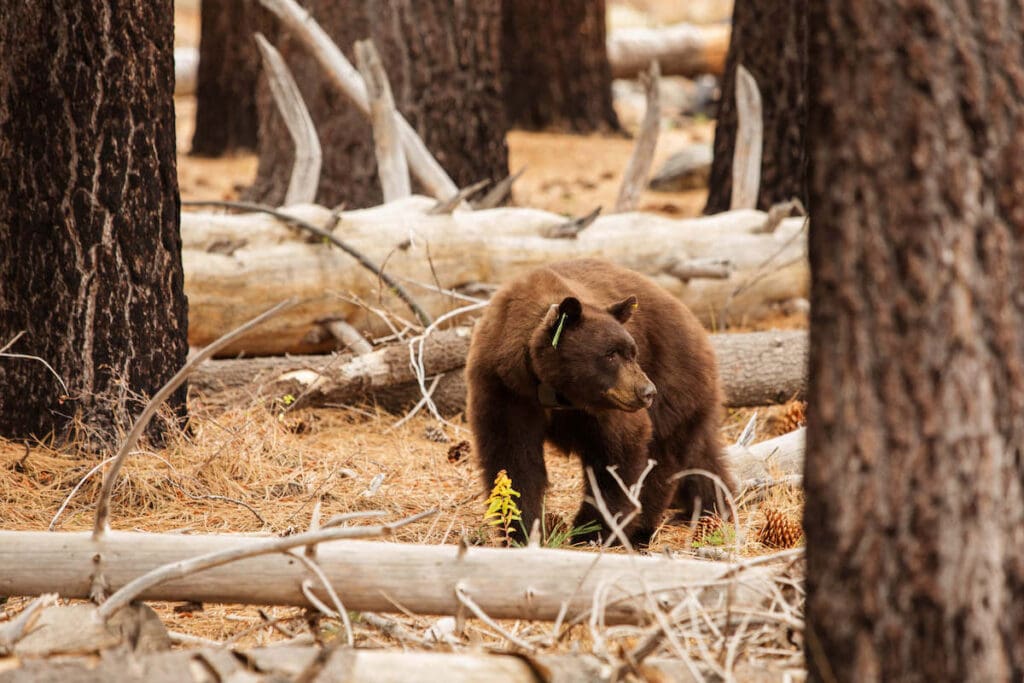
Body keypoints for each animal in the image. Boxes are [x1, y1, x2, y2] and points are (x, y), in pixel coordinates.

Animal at [468, 259, 733, 548]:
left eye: (632, 352)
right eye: (610, 354)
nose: (647, 391)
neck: (551, 389)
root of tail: (697, 324)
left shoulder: (604, 408)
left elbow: (619, 451)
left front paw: (591, 530)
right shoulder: (504, 388)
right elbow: (513, 457)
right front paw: (523, 531)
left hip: (675, 382)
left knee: (663, 456)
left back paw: (645, 527)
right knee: (701, 454)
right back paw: (711, 503)